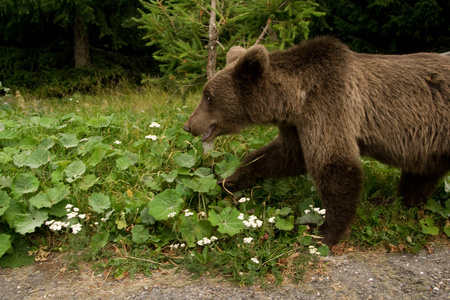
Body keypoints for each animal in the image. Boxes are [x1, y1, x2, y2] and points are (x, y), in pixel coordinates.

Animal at [183, 36, 450, 247]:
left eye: (208, 96)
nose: (188, 125)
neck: (295, 99)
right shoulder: (295, 124)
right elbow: (286, 156)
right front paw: (230, 180)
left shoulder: (330, 103)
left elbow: (335, 165)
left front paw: (322, 232)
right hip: (428, 145)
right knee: (421, 174)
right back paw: (395, 201)